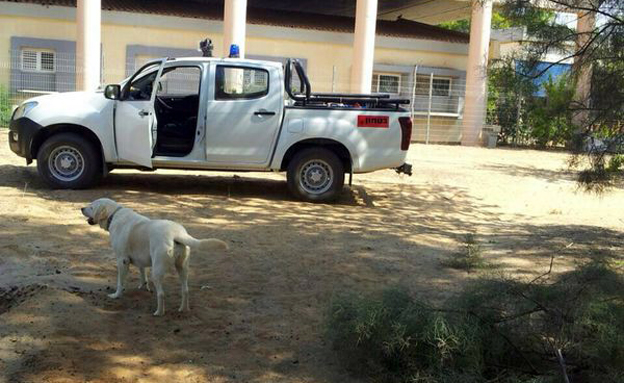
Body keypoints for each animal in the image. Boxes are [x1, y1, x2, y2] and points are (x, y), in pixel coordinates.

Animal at [80, 200, 227, 316]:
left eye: (91, 207)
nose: (81, 208)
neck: (113, 214)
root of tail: (177, 233)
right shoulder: (140, 260)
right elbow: (142, 274)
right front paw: (143, 286)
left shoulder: (122, 261)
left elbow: (120, 282)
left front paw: (116, 295)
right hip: (182, 267)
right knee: (185, 290)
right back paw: (183, 309)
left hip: (157, 271)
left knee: (161, 294)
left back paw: (159, 312)